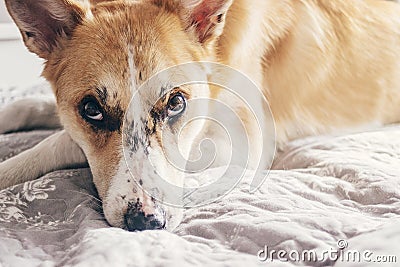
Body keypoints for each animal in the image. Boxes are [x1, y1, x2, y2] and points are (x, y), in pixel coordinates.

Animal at [0, 0, 400, 230]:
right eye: (91, 110)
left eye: (176, 103)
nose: (146, 223)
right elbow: (37, 110)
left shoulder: (242, 142)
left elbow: (57, 144)